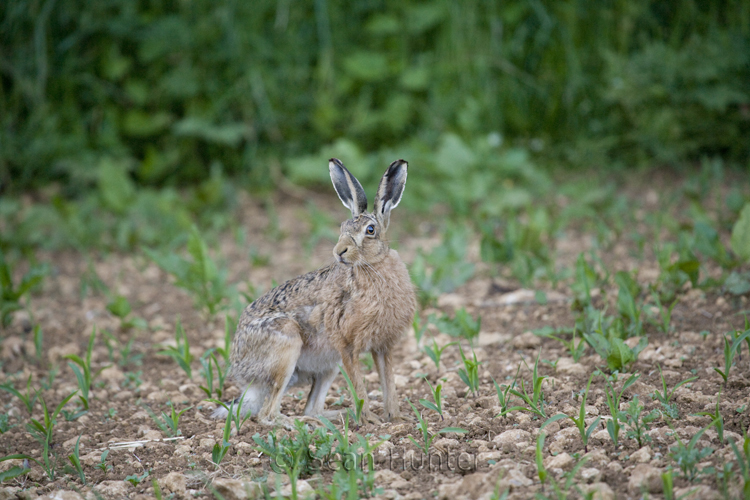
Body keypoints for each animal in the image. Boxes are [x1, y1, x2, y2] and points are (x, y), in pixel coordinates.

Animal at [212, 158, 416, 427]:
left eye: (370, 230)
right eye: (342, 227)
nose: (339, 251)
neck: (372, 266)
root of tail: (244, 374)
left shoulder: (383, 346)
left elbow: (389, 383)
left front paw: (395, 416)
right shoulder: (347, 344)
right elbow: (360, 387)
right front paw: (370, 419)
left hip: (328, 365)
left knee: (311, 408)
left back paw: (336, 416)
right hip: (286, 345)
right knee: (267, 414)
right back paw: (301, 424)